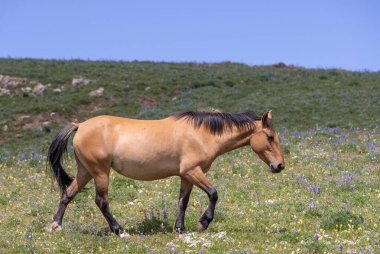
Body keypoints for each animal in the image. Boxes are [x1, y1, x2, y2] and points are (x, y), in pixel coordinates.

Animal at [47, 110, 284, 236]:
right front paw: (203, 222)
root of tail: (80, 125)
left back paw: (56, 225)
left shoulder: (186, 176)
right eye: (270, 137)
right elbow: (213, 193)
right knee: (101, 201)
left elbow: (183, 202)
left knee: (68, 193)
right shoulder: (193, 171)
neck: (202, 134)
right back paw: (119, 230)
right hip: (100, 172)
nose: (280, 166)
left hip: (86, 171)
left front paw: (180, 229)